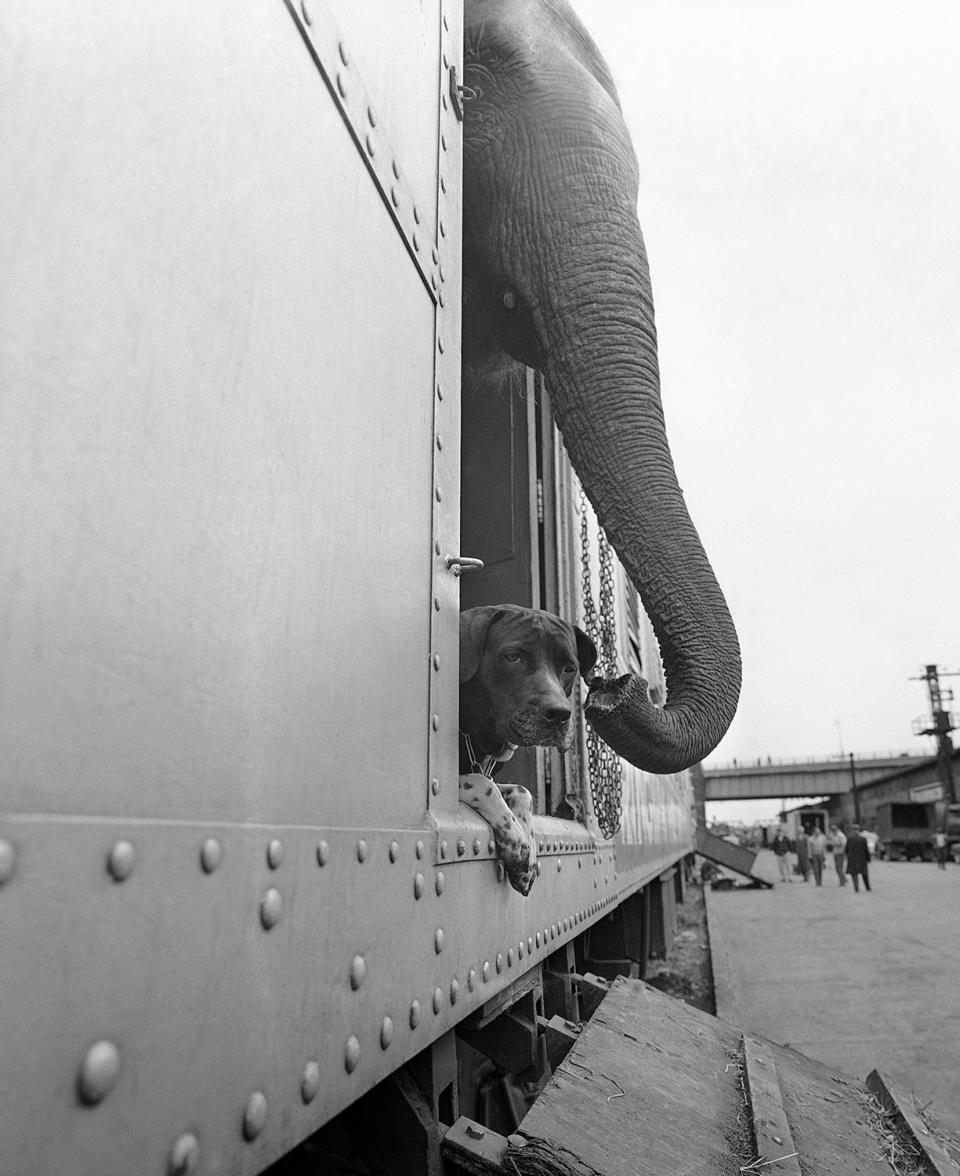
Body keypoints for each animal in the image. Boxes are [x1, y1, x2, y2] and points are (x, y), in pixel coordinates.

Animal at [461, 606, 595, 889]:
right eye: (513, 656)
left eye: (569, 668)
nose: (560, 714)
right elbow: (481, 783)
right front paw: (517, 841)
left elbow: (523, 791)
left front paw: (527, 847)